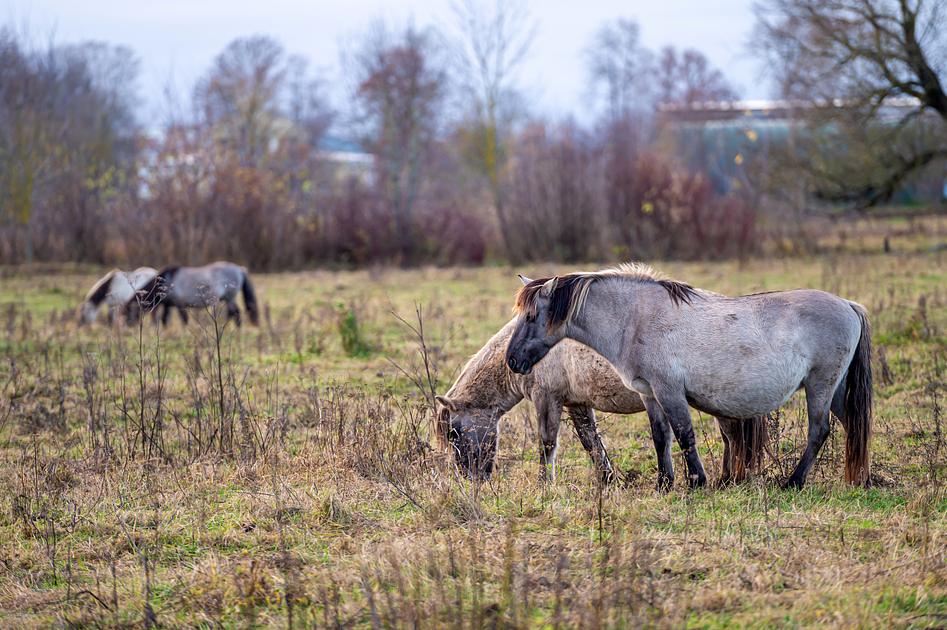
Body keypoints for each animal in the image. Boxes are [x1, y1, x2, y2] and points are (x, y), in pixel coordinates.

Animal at [128, 262, 260, 328]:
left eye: (127, 312)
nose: (129, 326)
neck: (167, 280)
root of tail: (240, 269)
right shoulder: (168, 305)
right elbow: (165, 319)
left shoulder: (180, 304)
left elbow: (184, 319)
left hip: (230, 298)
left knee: (235, 313)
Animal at [436, 316, 772, 488]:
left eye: (454, 432)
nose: (470, 479)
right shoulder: (576, 404)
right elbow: (591, 442)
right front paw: (607, 479)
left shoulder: (548, 399)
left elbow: (547, 443)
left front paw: (545, 484)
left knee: (732, 437)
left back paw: (728, 480)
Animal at [504, 264, 872, 492]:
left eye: (533, 316)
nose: (512, 360)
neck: (636, 318)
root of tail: (848, 304)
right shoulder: (650, 394)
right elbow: (661, 438)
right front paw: (664, 484)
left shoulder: (669, 391)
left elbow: (684, 434)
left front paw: (696, 481)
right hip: (835, 390)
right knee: (853, 425)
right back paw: (862, 479)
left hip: (820, 386)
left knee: (819, 431)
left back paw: (793, 482)